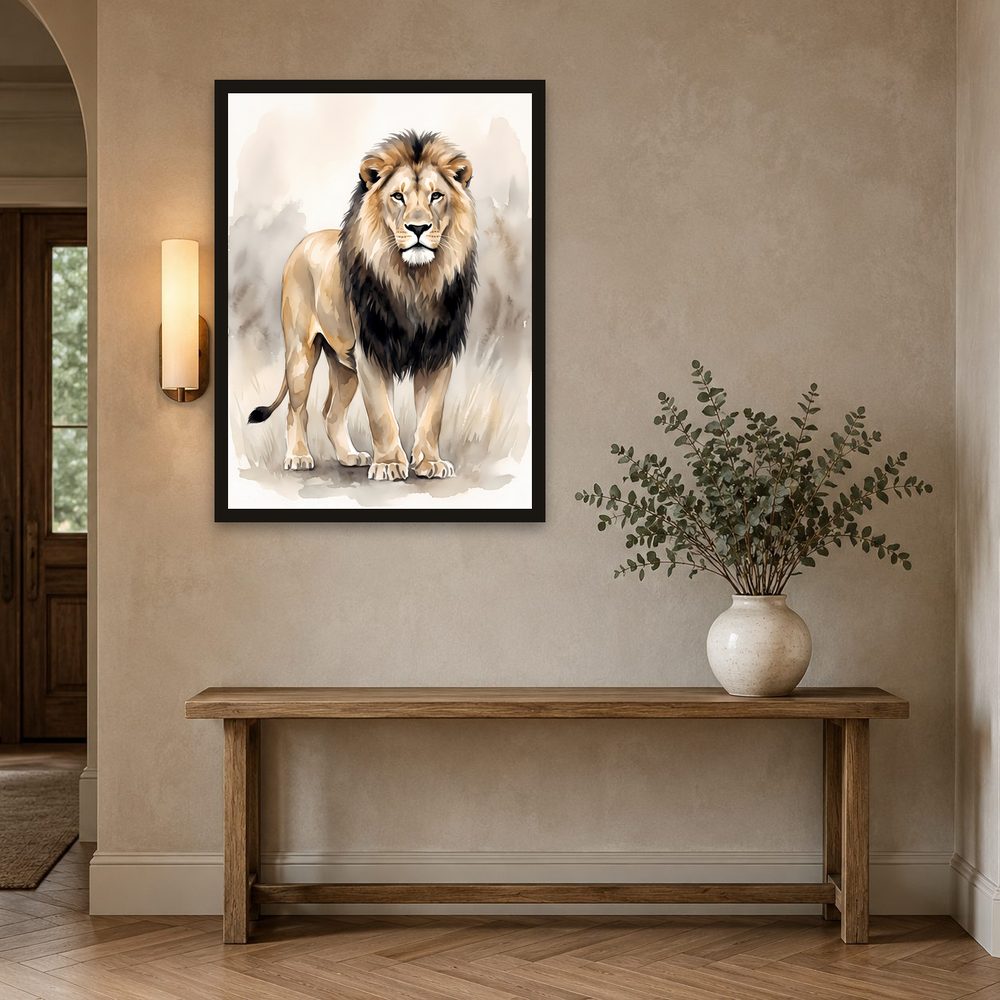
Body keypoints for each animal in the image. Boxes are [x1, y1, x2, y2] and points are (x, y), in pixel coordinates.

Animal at [247, 130, 477, 481]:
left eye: (436, 196)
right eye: (398, 197)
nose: (418, 228)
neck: (414, 280)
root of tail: (306, 240)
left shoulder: (437, 353)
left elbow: (431, 415)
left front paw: (430, 462)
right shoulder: (372, 352)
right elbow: (382, 415)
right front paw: (390, 464)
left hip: (344, 366)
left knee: (331, 412)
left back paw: (349, 456)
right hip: (301, 352)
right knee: (295, 409)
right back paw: (299, 457)